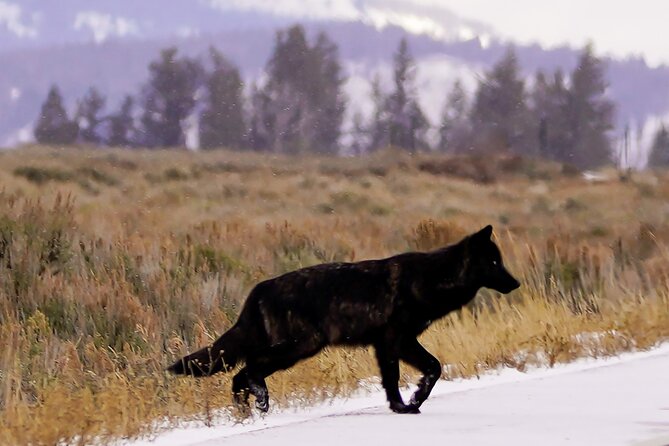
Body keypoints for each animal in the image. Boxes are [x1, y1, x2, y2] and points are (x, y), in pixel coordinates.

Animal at [168, 225, 520, 414]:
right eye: (494, 262)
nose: (515, 283)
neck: (432, 277)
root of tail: (258, 290)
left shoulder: (399, 342)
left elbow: (430, 368)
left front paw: (411, 400)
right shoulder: (393, 341)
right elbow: (405, 375)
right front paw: (405, 405)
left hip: (294, 348)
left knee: (239, 377)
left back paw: (246, 412)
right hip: (300, 347)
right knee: (247, 370)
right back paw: (259, 401)